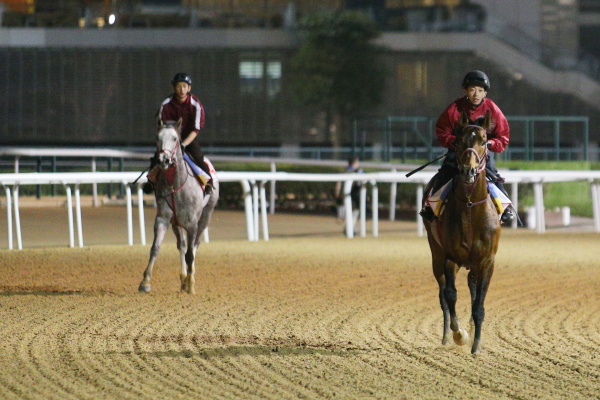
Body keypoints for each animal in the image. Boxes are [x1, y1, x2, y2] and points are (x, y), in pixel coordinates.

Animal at [138, 119, 218, 294]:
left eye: (175, 138)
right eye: (157, 137)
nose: (163, 160)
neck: (175, 184)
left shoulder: (192, 223)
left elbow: (190, 254)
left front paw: (191, 285)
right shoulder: (163, 218)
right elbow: (155, 248)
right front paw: (145, 282)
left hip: (206, 216)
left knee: (194, 246)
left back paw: (190, 279)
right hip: (176, 222)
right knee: (181, 245)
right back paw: (183, 280)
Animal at [422, 110, 502, 354]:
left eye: (484, 141)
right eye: (458, 141)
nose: (468, 171)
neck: (469, 206)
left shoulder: (487, 261)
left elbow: (479, 304)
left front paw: (476, 346)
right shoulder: (449, 257)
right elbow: (450, 295)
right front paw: (459, 334)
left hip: (472, 263)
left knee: (472, 289)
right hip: (436, 254)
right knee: (443, 295)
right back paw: (447, 335)